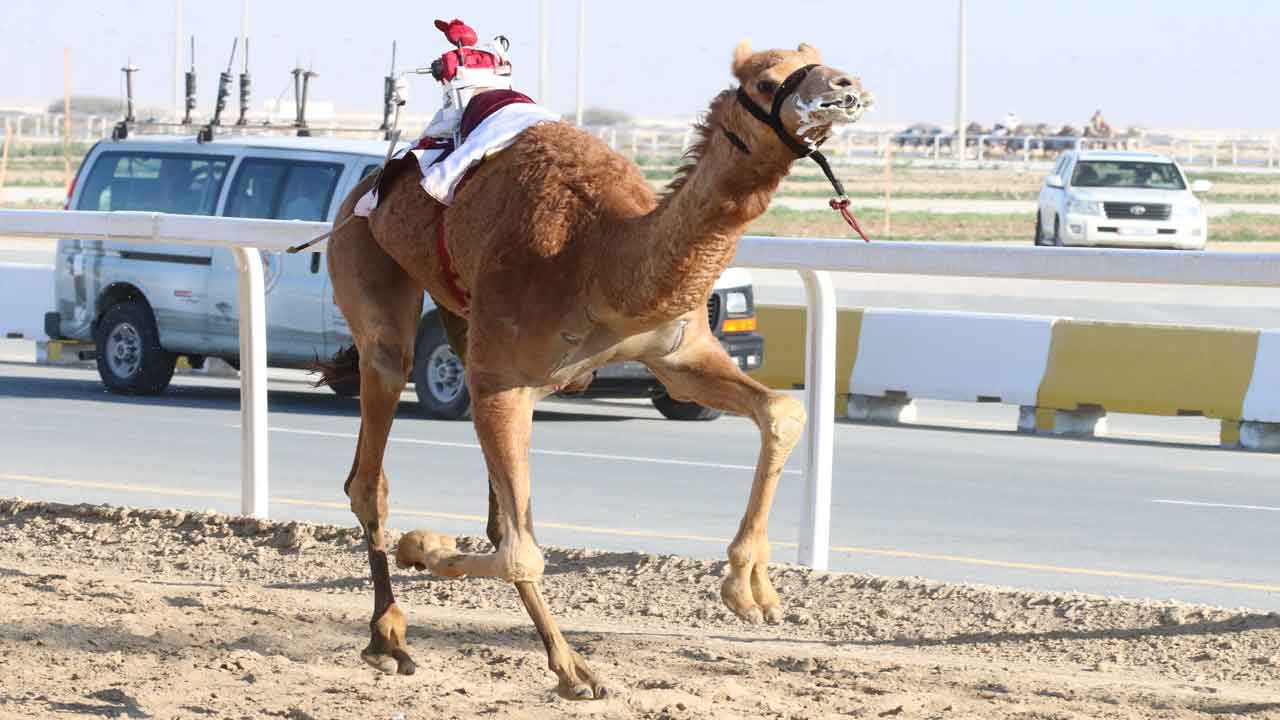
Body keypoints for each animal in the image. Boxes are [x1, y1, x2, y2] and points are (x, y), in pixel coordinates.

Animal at [318, 40, 870, 699]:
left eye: (814, 56)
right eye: (766, 80)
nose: (845, 86)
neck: (601, 257)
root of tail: (372, 181)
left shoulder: (677, 354)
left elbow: (782, 410)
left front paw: (751, 588)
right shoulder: (499, 379)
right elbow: (520, 552)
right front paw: (428, 550)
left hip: (463, 316)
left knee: (492, 512)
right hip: (367, 265)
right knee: (372, 465)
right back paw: (392, 637)